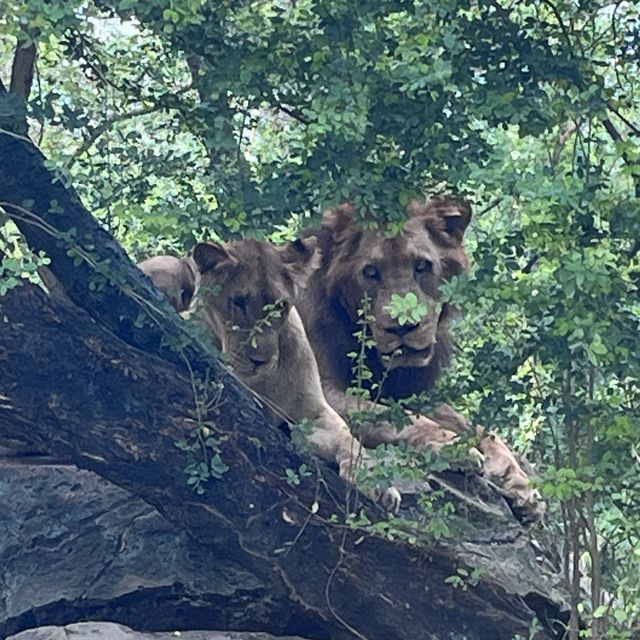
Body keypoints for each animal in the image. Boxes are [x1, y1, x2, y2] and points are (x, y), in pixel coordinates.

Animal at [188, 238, 402, 512]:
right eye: (238, 301)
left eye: (281, 305)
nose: (260, 360)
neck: (263, 380)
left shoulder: (313, 412)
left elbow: (349, 439)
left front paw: (376, 482)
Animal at [298, 199, 544, 520]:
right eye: (371, 272)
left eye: (421, 266)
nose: (403, 327)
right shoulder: (322, 389)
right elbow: (394, 418)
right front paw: (454, 447)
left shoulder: (410, 392)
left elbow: (479, 428)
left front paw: (520, 485)